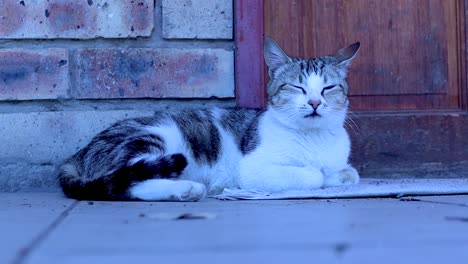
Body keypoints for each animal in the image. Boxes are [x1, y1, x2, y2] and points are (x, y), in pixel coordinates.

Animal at [57, 37, 358, 201]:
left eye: (328, 88)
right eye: (297, 88)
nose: (315, 102)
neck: (314, 139)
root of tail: (78, 154)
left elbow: (348, 173)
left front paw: (337, 175)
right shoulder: (253, 169)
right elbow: (312, 175)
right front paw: (319, 174)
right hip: (153, 137)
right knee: (126, 183)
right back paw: (188, 188)